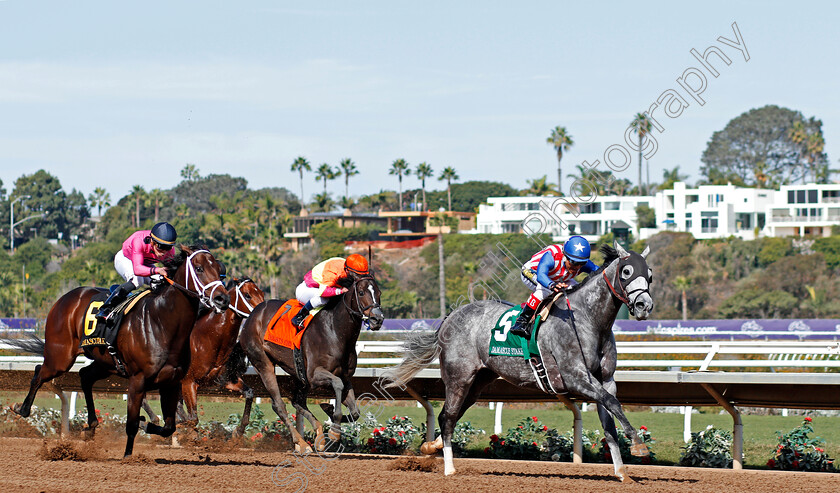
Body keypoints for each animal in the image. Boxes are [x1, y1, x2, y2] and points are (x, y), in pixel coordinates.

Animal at [10, 246, 226, 458]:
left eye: (219, 268)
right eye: (199, 268)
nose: (222, 299)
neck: (162, 322)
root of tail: (64, 299)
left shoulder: (171, 382)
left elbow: (169, 427)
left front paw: (146, 424)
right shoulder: (138, 379)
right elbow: (132, 424)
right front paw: (128, 456)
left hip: (105, 363)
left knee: (85, 376)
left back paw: (91, 426)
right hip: (60, 358)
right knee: (39, 373)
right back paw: (21, 408)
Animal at [240, 270, 384, 452]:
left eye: (379, 293)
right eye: (361, 292)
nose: (377, 319)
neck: (335, 332)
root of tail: (254, 312)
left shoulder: (345, 378)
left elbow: (355, 411)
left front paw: (328, 410)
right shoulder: (314, 375)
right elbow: (337, 385)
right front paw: (334, 429)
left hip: (298, 373)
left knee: (297, 401)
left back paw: (318, 437)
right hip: (263, 363)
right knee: (279, 404)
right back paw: (301, 442)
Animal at [386, 242, 656, 480]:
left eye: (650, 275)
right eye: (627, 271)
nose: (644, 305)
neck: (588, 320)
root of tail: (450, 316)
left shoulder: (605, 379)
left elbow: (610, 420)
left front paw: (622, 473)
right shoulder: (575, 378)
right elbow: (612, 403)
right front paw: (638, 445)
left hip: (479, 380)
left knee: (452, 414)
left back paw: (431, 446)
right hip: (458, 377)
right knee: (448, 417)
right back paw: (449, 468)